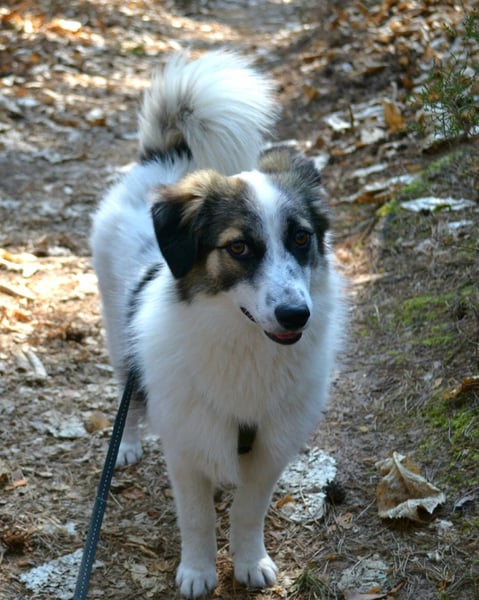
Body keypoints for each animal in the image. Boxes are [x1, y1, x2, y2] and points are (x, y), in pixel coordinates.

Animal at [91, 50, 344, 598]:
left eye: (301, 238)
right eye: (239, 247)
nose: (297, 314)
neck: (243, 343)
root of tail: (165, 159)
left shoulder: (270, 449)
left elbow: (249, 513)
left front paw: (249, 562)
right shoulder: (185, 447)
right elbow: (197, 518)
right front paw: (198, 571)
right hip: (118, 336)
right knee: (130, 394)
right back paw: (129, 444)